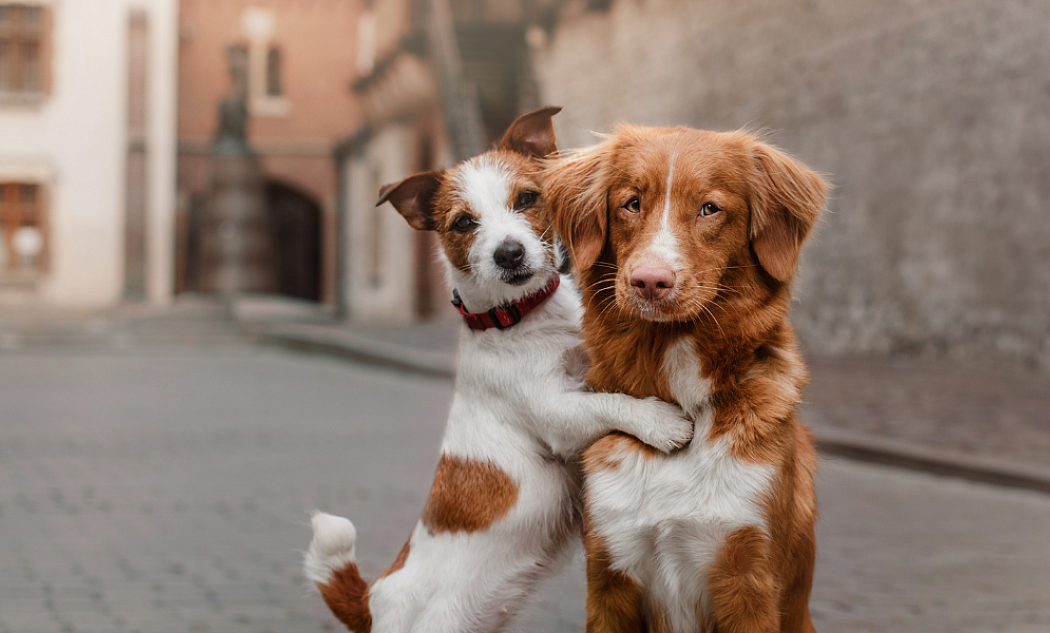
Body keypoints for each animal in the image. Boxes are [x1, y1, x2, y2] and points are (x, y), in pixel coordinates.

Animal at [302, 109, 697, 633]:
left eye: (527, 198)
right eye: (464, 222)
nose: (508, 253)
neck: (523, 317)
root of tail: (371, 601)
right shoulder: (556, 414)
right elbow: (609, 402)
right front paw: (660, 421)